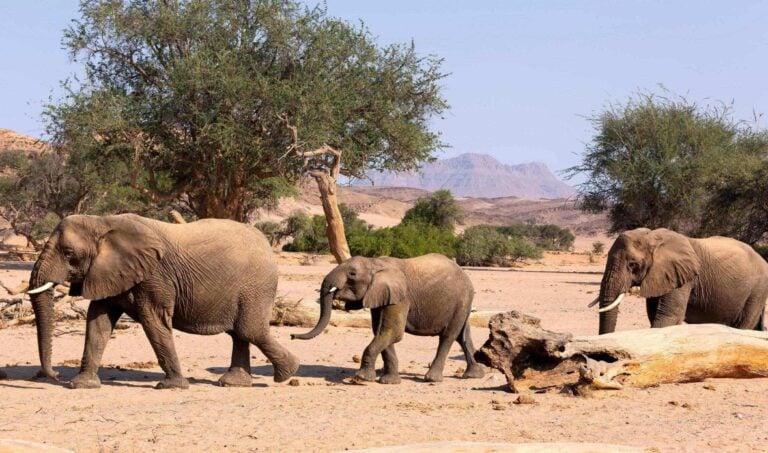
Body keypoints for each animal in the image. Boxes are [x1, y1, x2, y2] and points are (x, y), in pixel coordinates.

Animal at [27, 213, 298, 388]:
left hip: (256, 286)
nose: (55, 375)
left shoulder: (155, 276)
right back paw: (235, 383)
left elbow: (153, 320)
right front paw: (82, 385)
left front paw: (172, 386)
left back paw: (287, 374)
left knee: (249, 329)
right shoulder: (107, 273)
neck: (102, 222)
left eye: (68, 253)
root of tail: (267, 244)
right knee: (240, 333)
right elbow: (98, 322)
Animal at [292, 252, 484, 384]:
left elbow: (393, 332)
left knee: (448, 336)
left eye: (352, 274)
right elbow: (381, 331)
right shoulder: (380, 295)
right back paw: (474, 375)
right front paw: (389, 381)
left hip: (462, 300)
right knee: (462, 335)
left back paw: (431, 379)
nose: (292, 336)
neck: (374, 262)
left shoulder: (400, 297)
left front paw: (362, 378)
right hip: (463, 303)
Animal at [592, 228, 764, 334]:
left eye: (633, 264)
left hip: (757, 290)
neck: (652, 237)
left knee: (744, 324)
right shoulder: (661, 276)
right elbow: (654, 314)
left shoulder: (683, 276)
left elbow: (669, 315)